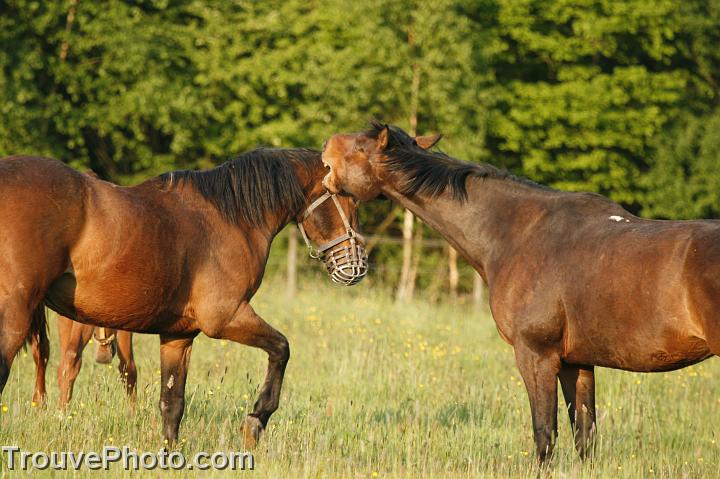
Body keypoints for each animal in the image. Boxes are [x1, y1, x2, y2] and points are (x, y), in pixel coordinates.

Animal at [0, 148, 367, 446]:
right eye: (347, 198)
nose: (358, 264)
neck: (231, 217)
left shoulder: (178, 336)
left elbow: (172, 403)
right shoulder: (226, 317)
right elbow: (281, 349)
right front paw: (255, 421)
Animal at [320, 121, 720, 462]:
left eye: (360, 147)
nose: (325, 147)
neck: (517, 232)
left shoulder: (536, 355)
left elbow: (545, 435)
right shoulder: (577, 362)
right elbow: (585, 437)